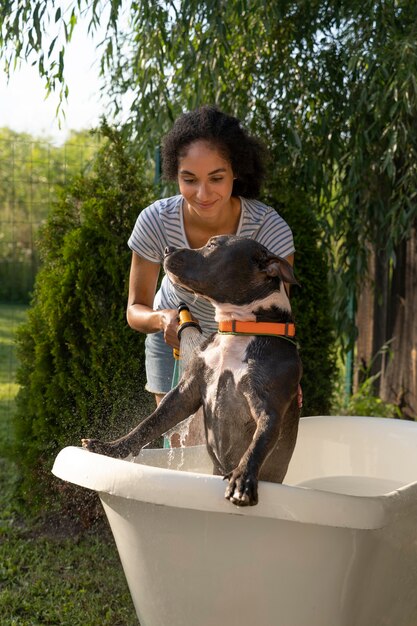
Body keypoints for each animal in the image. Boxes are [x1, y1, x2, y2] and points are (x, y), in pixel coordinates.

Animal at [82, 235, 302, 508]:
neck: (238, 328)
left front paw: (243, 479)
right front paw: (110, 448)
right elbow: (148, 424)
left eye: (213, 245)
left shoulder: (268, 406)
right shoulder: (185, 392)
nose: (167, 248)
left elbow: (258, 444)